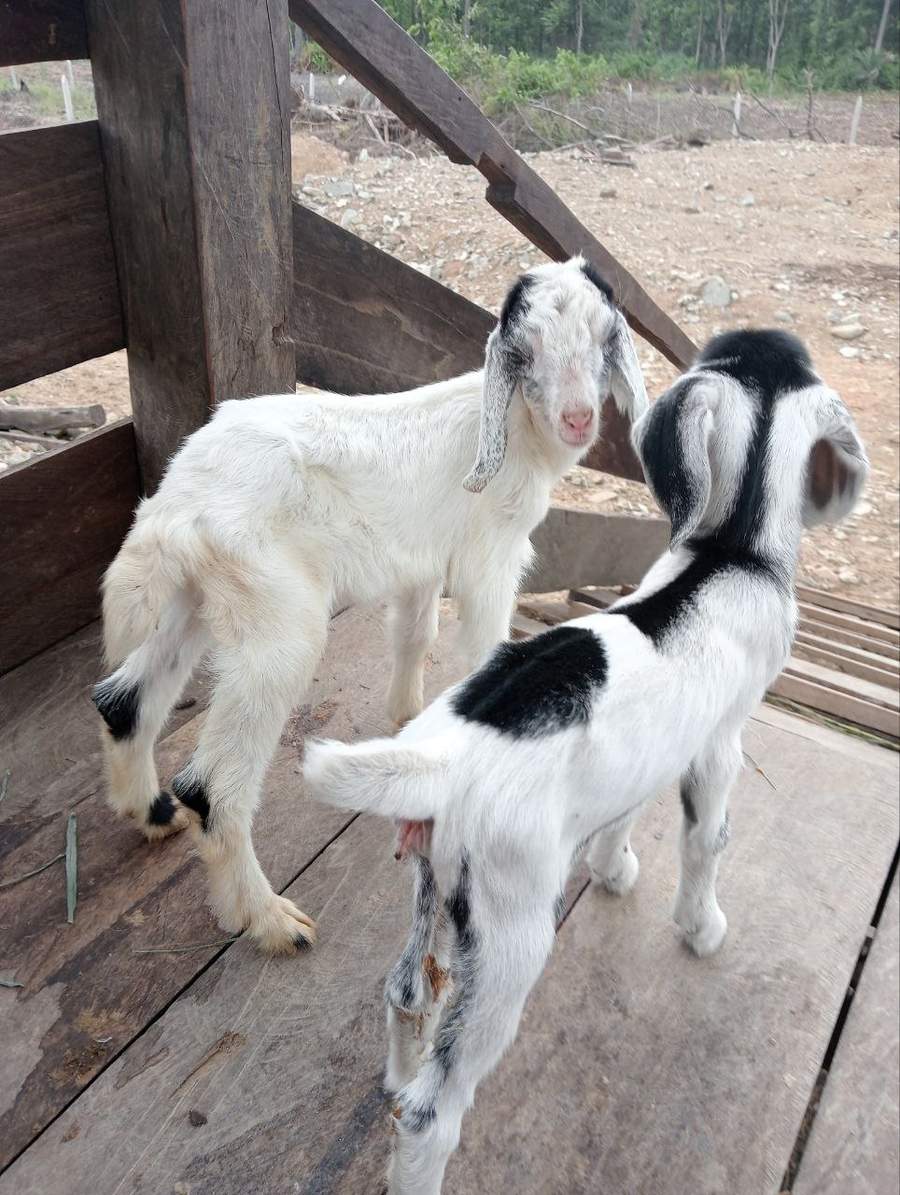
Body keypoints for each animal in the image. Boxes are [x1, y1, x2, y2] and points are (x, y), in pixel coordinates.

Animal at [91, 255, 648, 956]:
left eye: (605, 337)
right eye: (522, 351)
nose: (577, 419)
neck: (511, 428)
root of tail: (176, 504)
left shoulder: (421, 563)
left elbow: (414, 634)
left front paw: (408, 717)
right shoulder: (489, 557)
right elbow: (483, 646)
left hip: (197, 595)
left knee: (122, 700)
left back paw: (151, 812)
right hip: (278, 618)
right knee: (211, 786)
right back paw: (268, 919)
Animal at [303, 329, 868, 1194]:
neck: (727, 551)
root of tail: (444, 757)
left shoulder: (649, 751)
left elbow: (626, 805)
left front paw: (612, 868)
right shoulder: (721, 740)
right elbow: (708, 838)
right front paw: (702, 928)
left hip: (429, 878)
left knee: (404, 991)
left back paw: (395, 1071)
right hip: (510, 931)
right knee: (434, 1109)